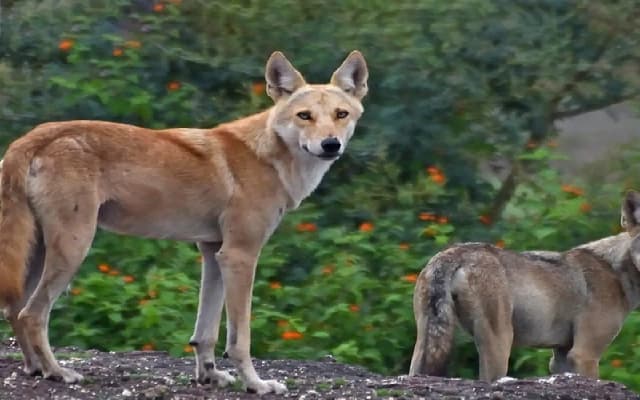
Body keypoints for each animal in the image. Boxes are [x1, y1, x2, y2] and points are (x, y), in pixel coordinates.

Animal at [0, 50, 368, 394]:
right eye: (304, 116)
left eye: (341, 114)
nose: (330, 144)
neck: (268, 157)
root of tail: (33, 136)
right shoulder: (240, 256)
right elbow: (240, 339)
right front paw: (256, 384)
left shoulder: (214, 254)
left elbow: (205, 333)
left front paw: (209, 377)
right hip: (73, 250)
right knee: (33, 314)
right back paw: (58, 372)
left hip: (39, 254)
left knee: (15, 310)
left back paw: (35, 369)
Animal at [409, 190, 640, 381]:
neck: (617, 272)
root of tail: (453, 253)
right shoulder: (585, 354)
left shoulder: (561, 357)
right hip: (500, 345)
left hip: (425, 343)